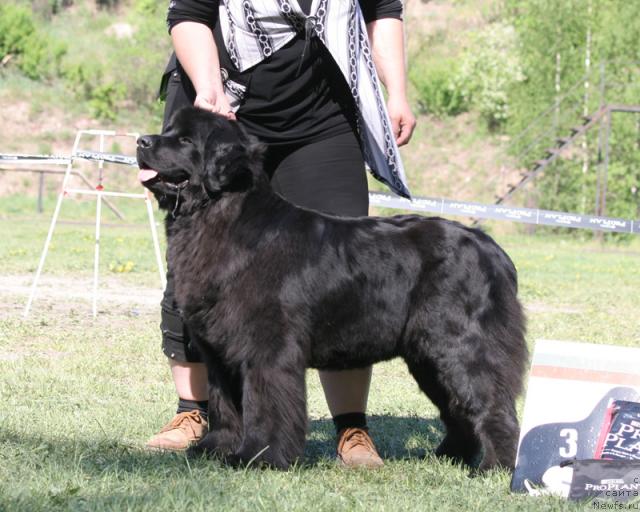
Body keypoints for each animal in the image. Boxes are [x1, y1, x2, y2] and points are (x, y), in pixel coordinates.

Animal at [138, 107, 528, 472]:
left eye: (186, 140)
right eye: (168, 130)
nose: (142, 141)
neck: (218, 216)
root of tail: (491, 249)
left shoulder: (267, 348)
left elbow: (264, 405)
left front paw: (259, 456)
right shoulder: (219, 350)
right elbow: (225, 404)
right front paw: (214, 450)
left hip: (459, 345)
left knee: (492, 404)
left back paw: (494, 468)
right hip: (426, 356)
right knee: (456, 408)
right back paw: (449, 457)